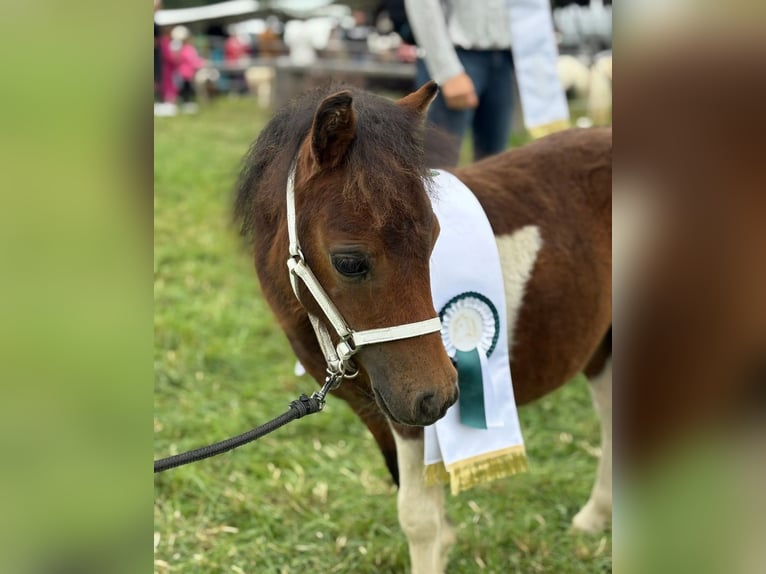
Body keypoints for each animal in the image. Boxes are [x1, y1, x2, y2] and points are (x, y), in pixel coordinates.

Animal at [234, 81, 612, 573]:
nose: (442, 395)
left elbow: (420, 521)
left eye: (434, 238)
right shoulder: (383, 412)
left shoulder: (410, 415)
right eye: (349, 262)